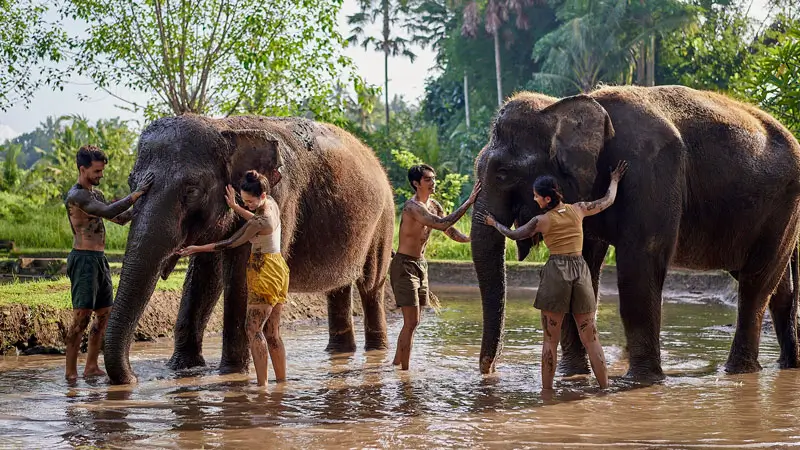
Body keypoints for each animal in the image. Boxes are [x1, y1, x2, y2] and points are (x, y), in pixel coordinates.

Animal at [104, 114, 395, 384]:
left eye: (191, 190)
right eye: (131, 183)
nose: (133, 378)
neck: (225, 128)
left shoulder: (281, 198)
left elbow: (242, 272)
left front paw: (230, 372)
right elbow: (204, 277)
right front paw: (183, 369)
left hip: (384, 219)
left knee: (371, 286)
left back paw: (375, 351)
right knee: (339, 288)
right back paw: (340, 352)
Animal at [471, 85, 800, 381]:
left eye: (503, 174)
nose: (490, 371)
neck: (565, 104)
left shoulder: (649, 170)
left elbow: (640, 261)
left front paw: (641, 381)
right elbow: (585, 264)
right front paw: (573, 376)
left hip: (782, 206)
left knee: (755, 283)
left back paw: (738, 371)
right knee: (777, 287)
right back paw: (788, 365)